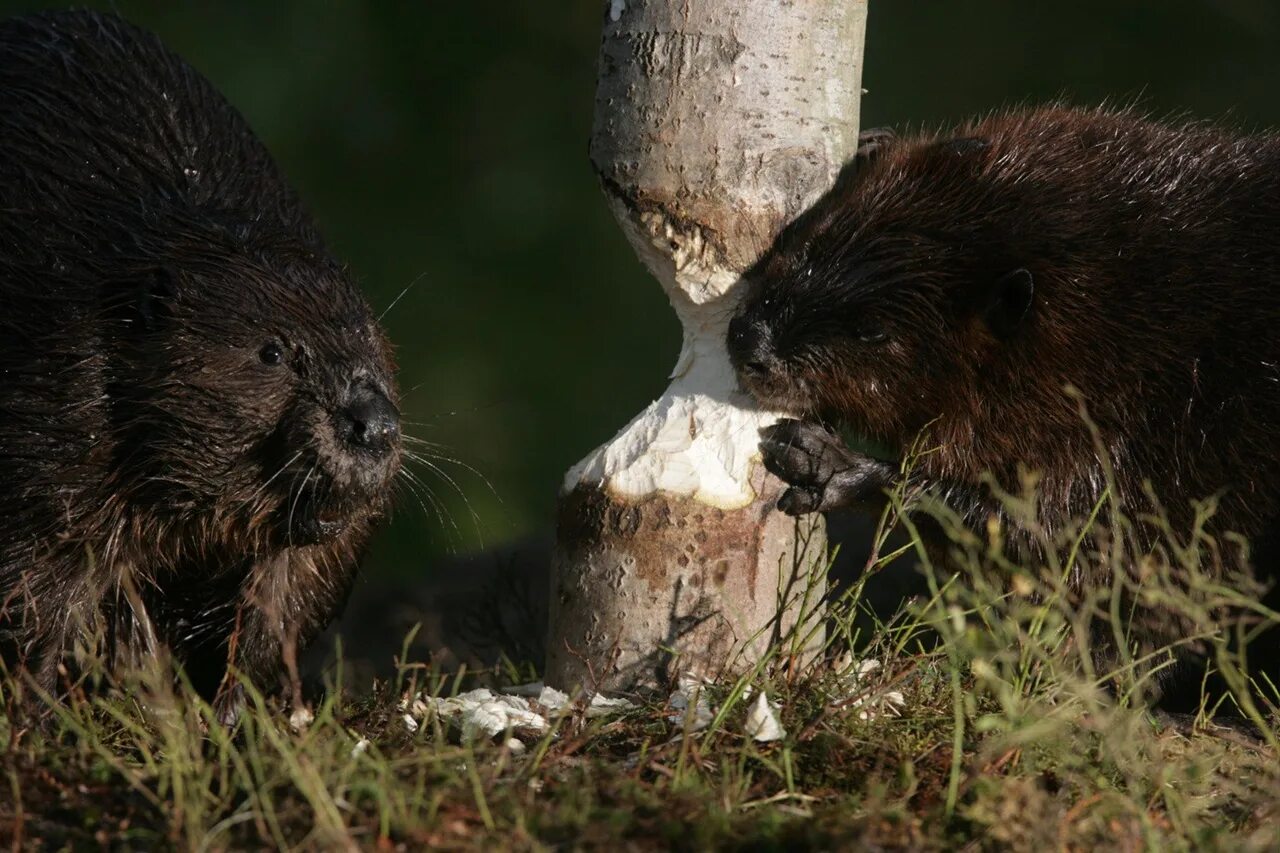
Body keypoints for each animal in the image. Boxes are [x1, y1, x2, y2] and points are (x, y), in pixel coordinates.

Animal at [0, 11, 401, 717]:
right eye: (273, 352)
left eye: (370, 340)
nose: (372, 426)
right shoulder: (55, 418)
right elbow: (42, 579)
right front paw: (42, 711)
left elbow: (285, 595)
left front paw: (237, 712)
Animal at [732, 104, 1280, 696]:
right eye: (812, 243)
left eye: (871, 330)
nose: (750, 342)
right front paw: (871, 143)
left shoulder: (1137, 437)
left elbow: (1055, 538)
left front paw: (825, 461)